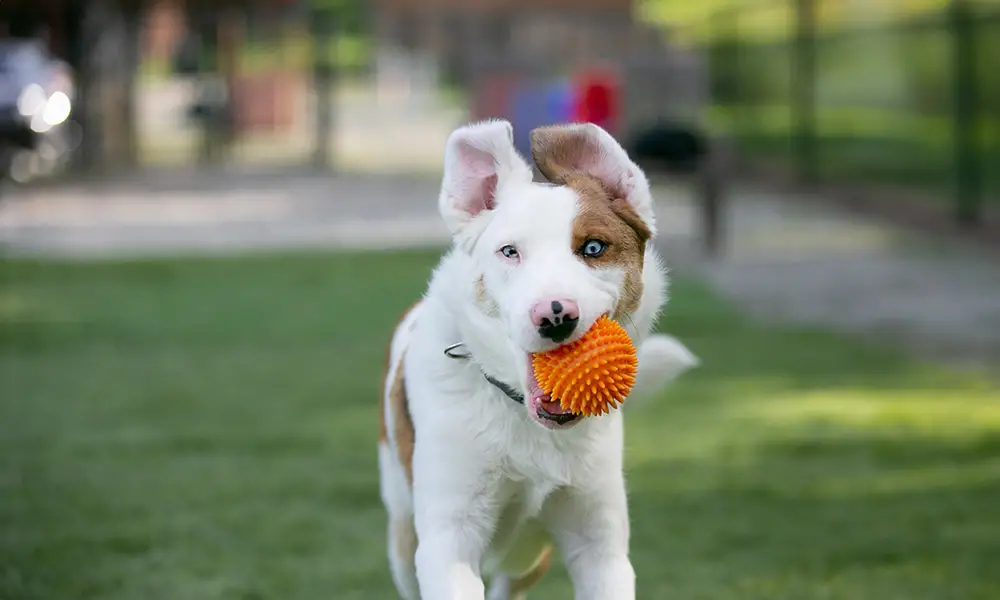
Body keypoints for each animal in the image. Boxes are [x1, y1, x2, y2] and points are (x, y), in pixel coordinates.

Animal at [378, 119, 700, 596]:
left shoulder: (599, 544)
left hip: (528, 554)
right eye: (510, 251)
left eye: (593, 248)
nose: (555, 315)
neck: (523, 420)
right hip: (402, 538)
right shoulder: (448, 539)